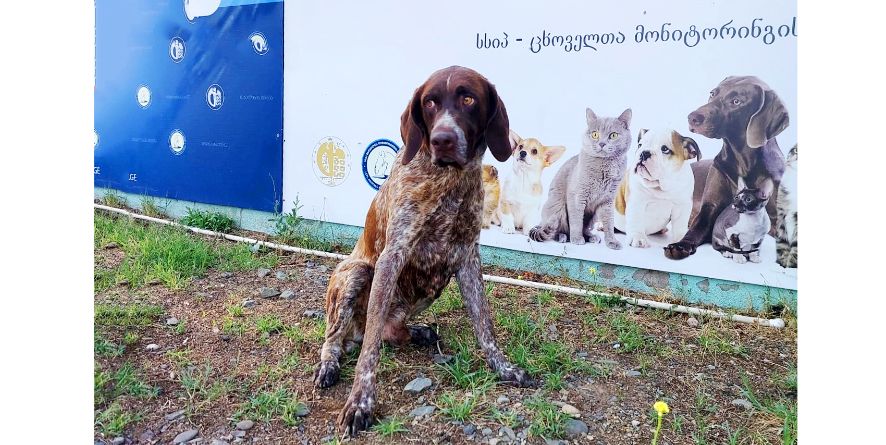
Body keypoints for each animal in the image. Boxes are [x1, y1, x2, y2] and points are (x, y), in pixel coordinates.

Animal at [314, 67, 536, 438]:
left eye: (468, 98)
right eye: (430, 102)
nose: (442, 139)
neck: (450, 179)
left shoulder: (468, 257)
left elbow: (485, 326)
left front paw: (504, 368)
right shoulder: (393, 256)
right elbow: (370, 352)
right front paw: (361, 402)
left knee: (387, 332)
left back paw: (418, 333)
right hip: (356, 274)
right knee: (340, 338)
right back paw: (330, 365)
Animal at [532, 106, 636, 248]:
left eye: (613, 135)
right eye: (595, 134)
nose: (602, 143)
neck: (605, 168)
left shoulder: (608, 200)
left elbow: (609, 223)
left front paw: (611, 241)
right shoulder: (577, 196)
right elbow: (576, 220)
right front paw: (576, 239)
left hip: (593, 216)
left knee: (584, 228)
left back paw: (591, 237)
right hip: (557, 208)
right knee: (555, 230)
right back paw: (563, 237)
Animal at [664, 74, 792, 258]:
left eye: (736, 101)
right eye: (712, 93)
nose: (692, 117)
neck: (744, 163)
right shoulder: (709, 208)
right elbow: (696, 229)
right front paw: (681, 245)